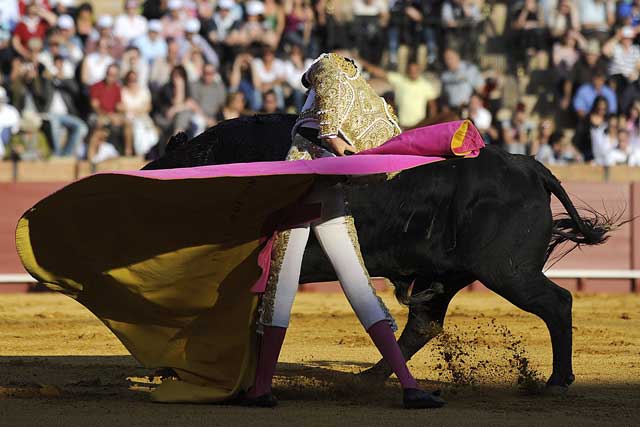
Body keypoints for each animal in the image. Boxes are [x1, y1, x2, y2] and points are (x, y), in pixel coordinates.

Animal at [142, 113, 612, 392]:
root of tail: (526, 164)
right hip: (449, 276)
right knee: (423, 325)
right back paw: (371, 377)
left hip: (507, 270)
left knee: (557, 303)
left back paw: (558, 380)